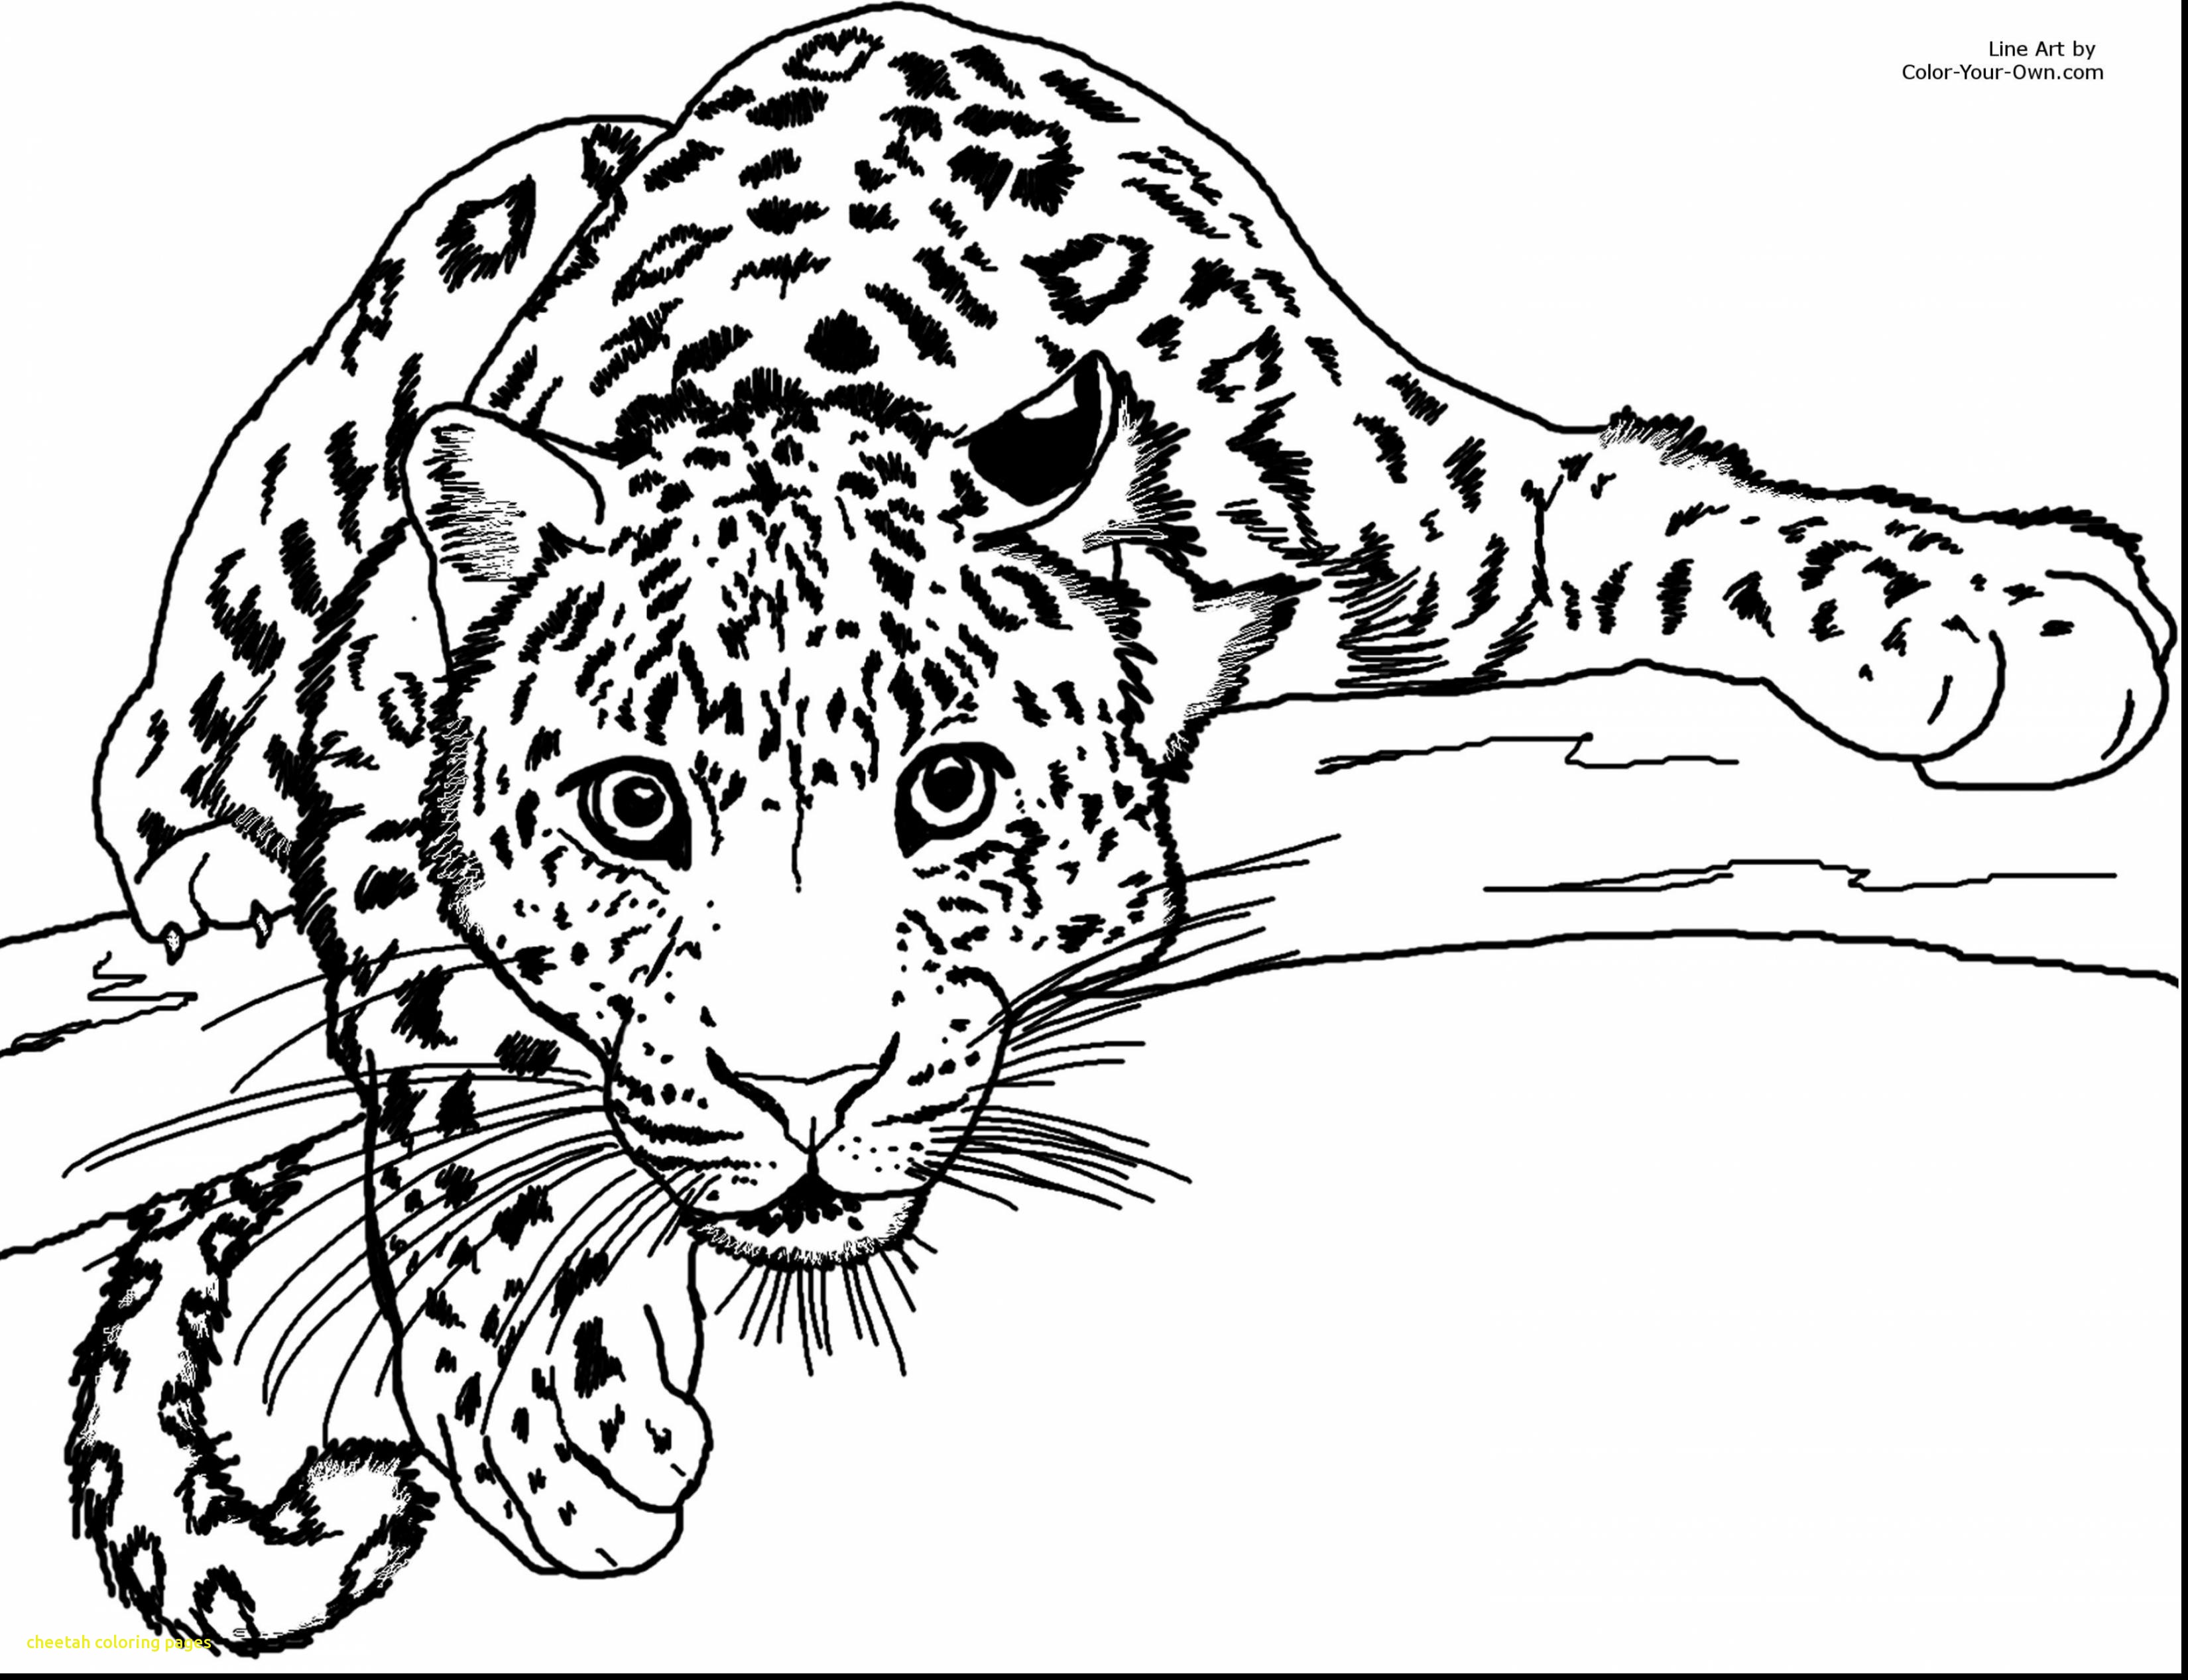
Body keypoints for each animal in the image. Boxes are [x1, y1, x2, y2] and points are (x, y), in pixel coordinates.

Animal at [69, 2, 2174, 1652]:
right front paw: (552, 1394)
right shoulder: (377, 683)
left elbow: (1689, 517)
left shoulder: (1448, 504)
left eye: (947, 790)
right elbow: (442, 1015)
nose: (802, 1090)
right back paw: (192, 846)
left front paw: (2009, 611)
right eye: (633, 809)